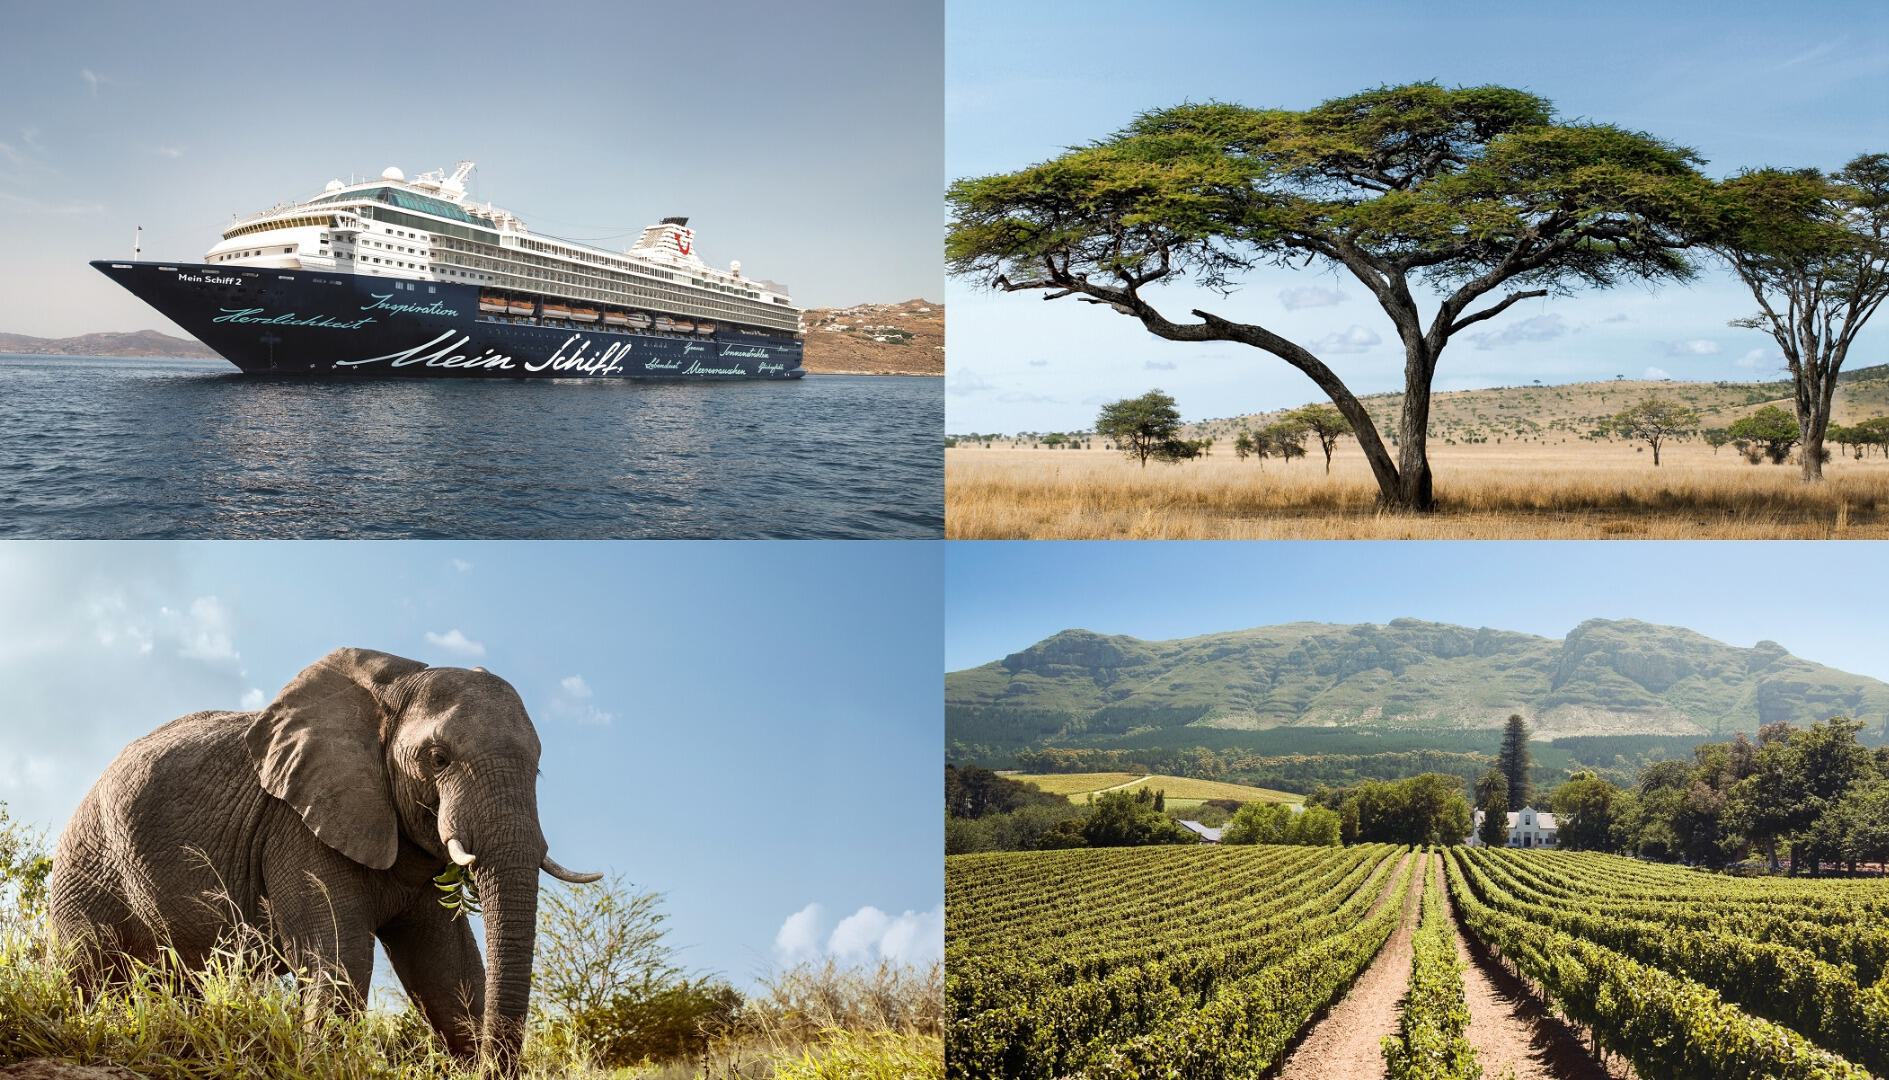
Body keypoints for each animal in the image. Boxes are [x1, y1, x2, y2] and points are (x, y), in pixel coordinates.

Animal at [49, 645, 596, 1072]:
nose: (489, 1066)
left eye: (538, 768)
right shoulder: (296, 827)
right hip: (86, 865)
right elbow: (339, 953)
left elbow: (447, 969)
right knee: (86, 970)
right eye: (438, 759)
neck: (393, 688)